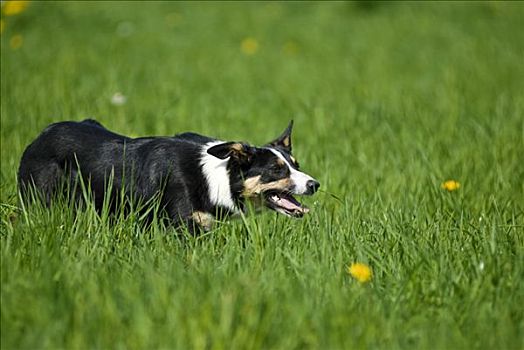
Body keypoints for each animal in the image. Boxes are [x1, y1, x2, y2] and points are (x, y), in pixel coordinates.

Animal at [18, 119, 320, 232]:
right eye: (277, 170)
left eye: (296, 164)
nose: (314, 184)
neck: (217, 179)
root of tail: (41, 135)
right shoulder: (183, 227)